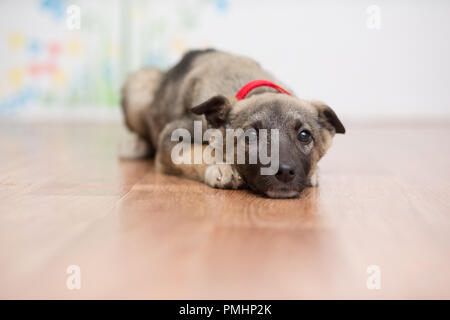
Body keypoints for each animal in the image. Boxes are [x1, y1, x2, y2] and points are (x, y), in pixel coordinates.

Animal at [119, 48, 344, 198]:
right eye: (251, 136)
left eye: (304, 135)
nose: (285, 172)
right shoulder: (171, 138)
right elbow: (199, 151)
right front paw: (222, 168)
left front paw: (314, 172)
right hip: (139, 84)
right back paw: (136, 144)